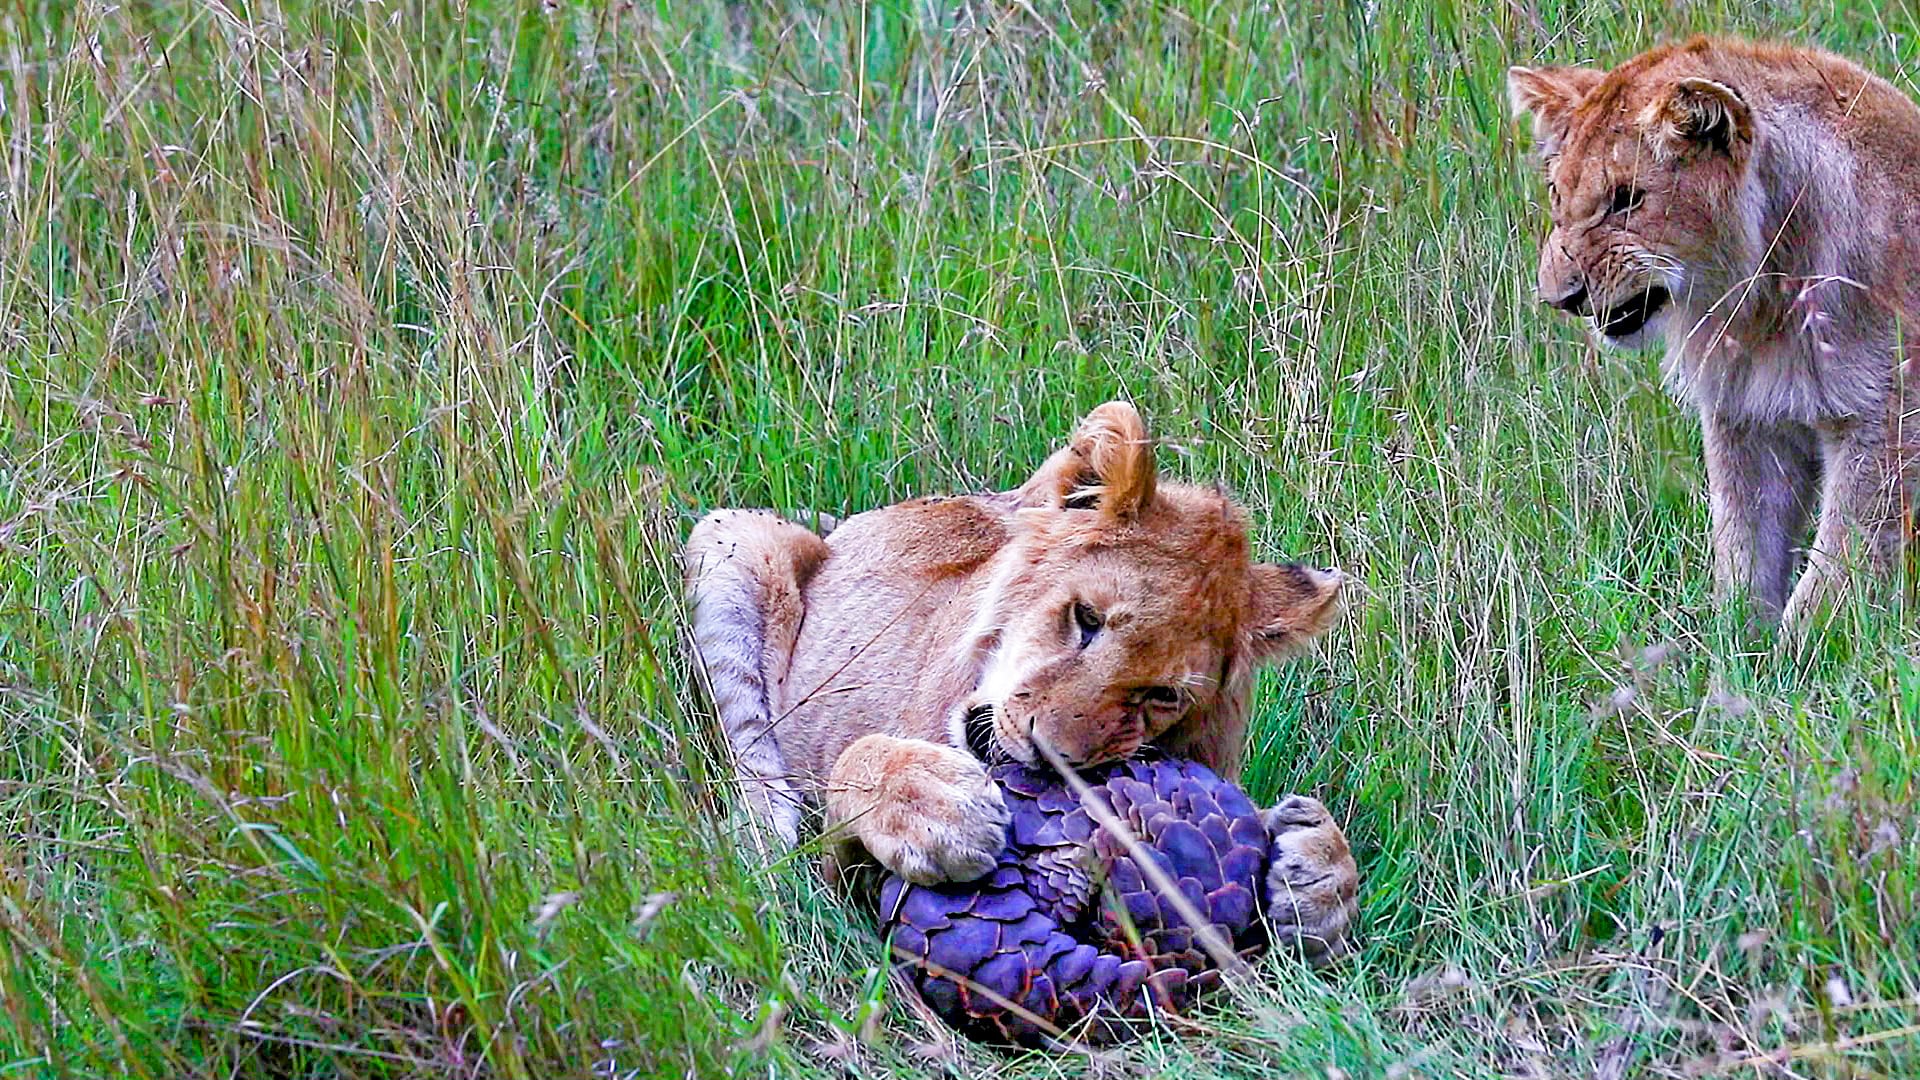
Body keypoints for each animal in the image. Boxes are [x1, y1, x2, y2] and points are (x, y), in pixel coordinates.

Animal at [684, 402, 1359, 964]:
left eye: (1164, 695)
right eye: (1087, 618)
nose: (1050, 756)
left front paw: (1320, 873)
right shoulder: (843, 872)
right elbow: (859, 759)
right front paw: (937, 804)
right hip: (731, 538)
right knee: (757, 775)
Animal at [1509, 37, 1920, 632]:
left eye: (1626, 199)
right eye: (1555, 194)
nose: (1558, 297)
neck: (1765, 306)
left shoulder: (1886, 427)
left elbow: (1837, 574)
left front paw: (1799, 651)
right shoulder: (1746, 419)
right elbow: (1743, 557)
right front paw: (1732, 646)